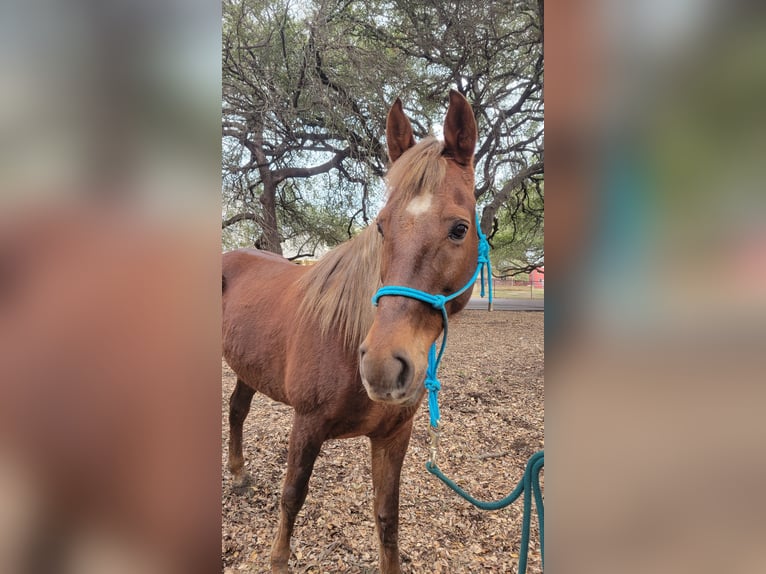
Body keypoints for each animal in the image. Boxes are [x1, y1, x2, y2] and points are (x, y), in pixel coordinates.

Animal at [222, 90, 480, 574]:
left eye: (460, 228)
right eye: (381, 225)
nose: (382, 366)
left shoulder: (394, 437)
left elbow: (387, 517)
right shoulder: (306, 425)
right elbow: (292, 496)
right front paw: (278, 560)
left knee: (237, 410)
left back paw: (240, 473)